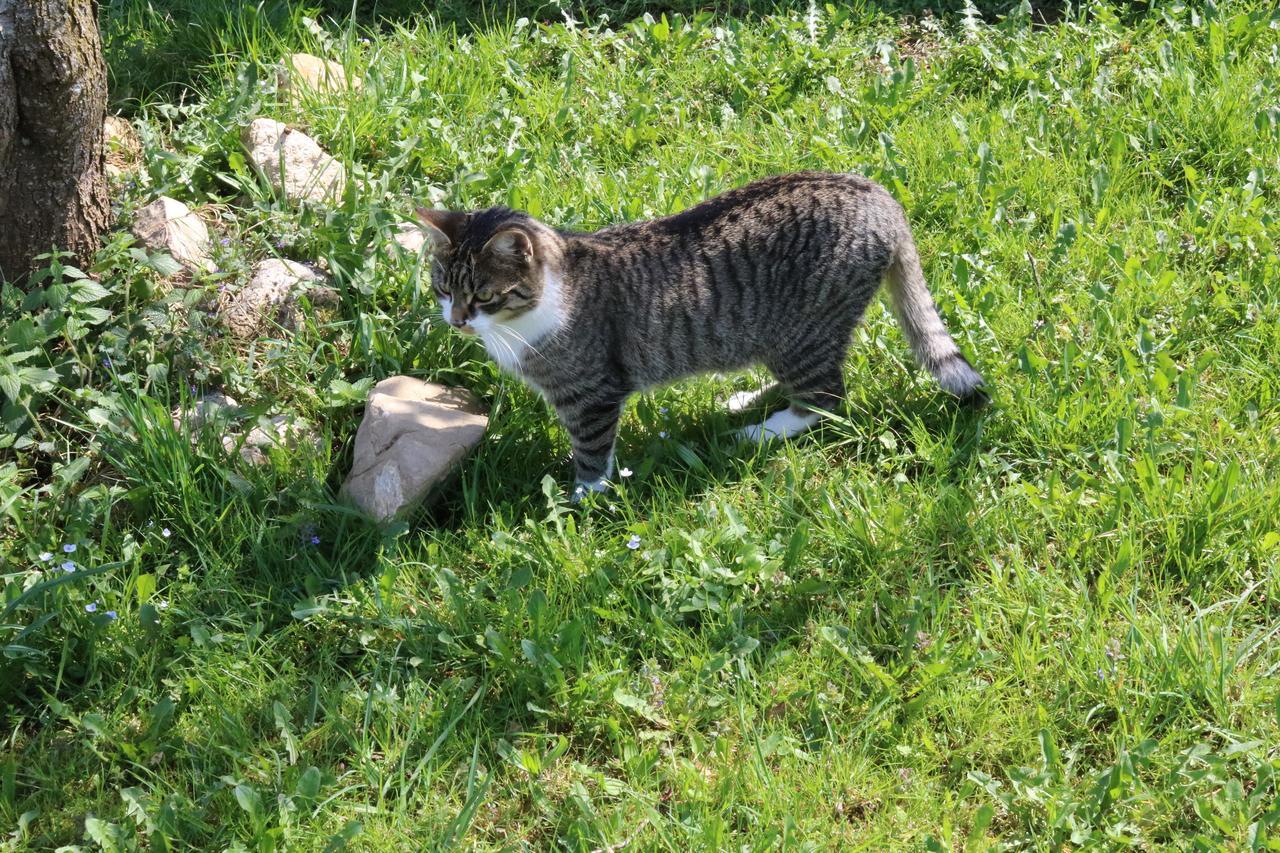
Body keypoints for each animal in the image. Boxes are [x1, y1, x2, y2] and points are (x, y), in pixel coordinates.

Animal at [414, 170, 983, 494]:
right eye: (442, 288)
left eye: (484, 297)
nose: (457, 321)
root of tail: (879, 194)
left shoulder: (591, 394)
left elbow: (591, 452)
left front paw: (584, 499)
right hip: (777, 337)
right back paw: (746, 399)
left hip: (803, 333)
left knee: (826, 399)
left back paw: (761, 431)